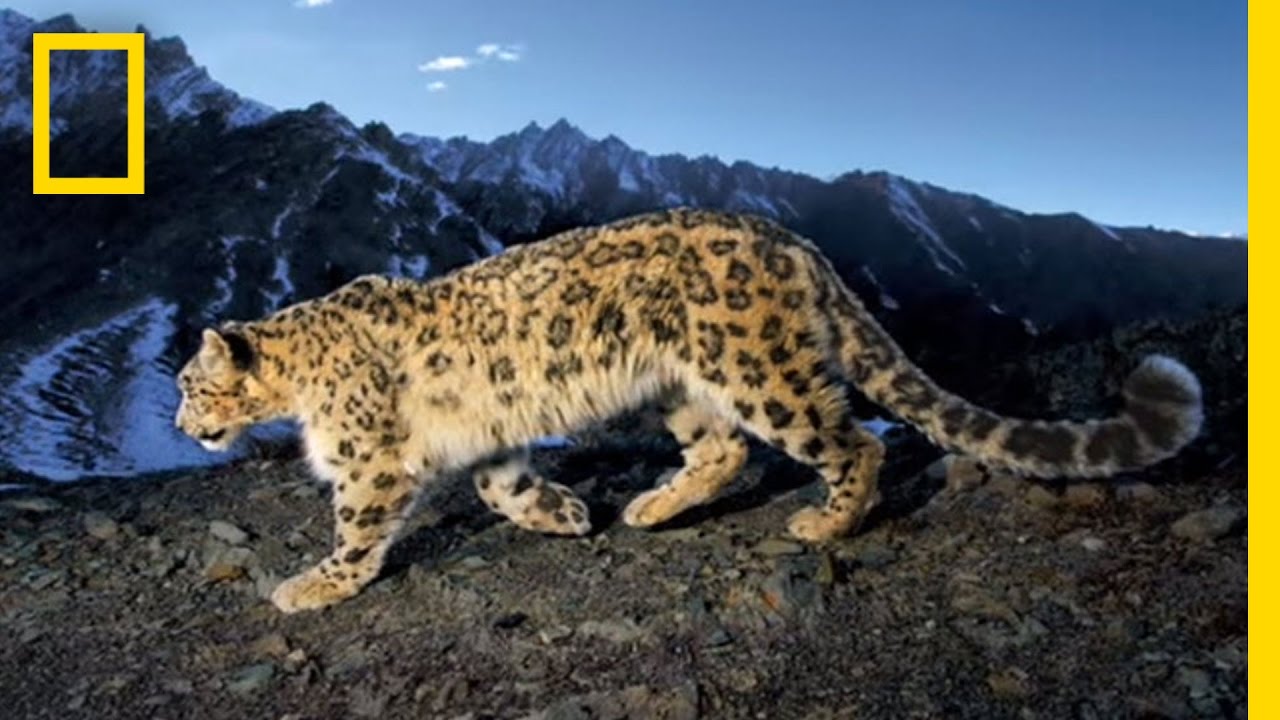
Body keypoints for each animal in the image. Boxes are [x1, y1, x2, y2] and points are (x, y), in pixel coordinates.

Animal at [174, 208, 1203, 613]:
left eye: (188, 385)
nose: (183, 426)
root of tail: (791, 240)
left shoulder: (369, 460)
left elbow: (357, 526)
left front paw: (313, 585)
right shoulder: (487, 441)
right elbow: (506, 487)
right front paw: (566, 514)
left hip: (759, 369)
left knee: (847, 440)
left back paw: (824, 524)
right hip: (683, 385)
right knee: (724, 453)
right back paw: (647, 507)